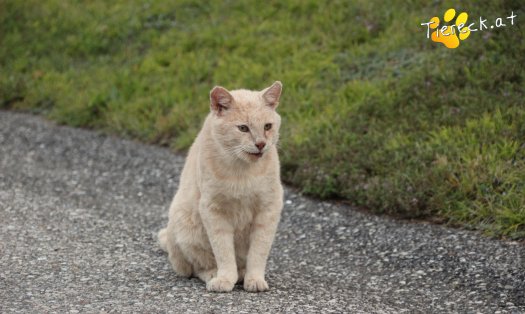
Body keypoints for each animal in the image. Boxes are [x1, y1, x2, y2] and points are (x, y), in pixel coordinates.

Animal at [158, 81, 284, 292]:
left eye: (267, 126)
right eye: (243, 128)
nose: (261, 144)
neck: (243, 171)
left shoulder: (268, 208)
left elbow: (258, 252)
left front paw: (254, 279)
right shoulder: (213, 210)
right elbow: (223, 251)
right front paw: (224, 279)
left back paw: (242, 274)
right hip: (184, 223)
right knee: (196, 267)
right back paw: (215, 274)